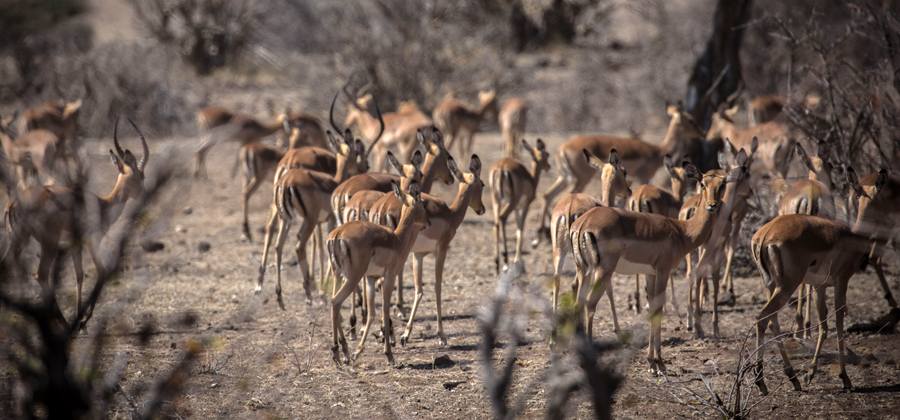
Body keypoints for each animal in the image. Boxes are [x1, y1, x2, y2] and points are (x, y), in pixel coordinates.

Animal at [328, 180, 430, 364]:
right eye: (424, 204)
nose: (429, 223)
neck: (397, 240)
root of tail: (337, 234)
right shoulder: (389, 277)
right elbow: (385, 310)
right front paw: (389, 355)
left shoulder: (371, 278)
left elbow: (372, 314)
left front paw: (358, 352)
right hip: (352, 277)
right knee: (335, 302)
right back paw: (338, 354)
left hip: (338, 275)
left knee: (333, 304)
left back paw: (344, 352)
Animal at [488, 139, 552, 274]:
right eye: (546, 154)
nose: (548, 166)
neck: (531, 179)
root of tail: (500, 167)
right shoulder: (525, 205)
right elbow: (521, 228)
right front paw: (518, 260)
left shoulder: (517, 208)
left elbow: (518, 226)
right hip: (511, 202)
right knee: (502, 217)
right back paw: (505, 262)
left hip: (496, 201)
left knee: (496, 224)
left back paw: (497, 264)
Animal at [748, 167, 888, 394]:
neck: (854, 238)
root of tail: (766, 236)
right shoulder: (842, 281)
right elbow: (838, 322)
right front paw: (844, 377)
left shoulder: (818, 287)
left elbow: (823, 325)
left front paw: (810, 374)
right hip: (786, 286)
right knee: (762, 316)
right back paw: (762, 382)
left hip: (770, 285)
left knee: (772, 321)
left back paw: (792, 378)